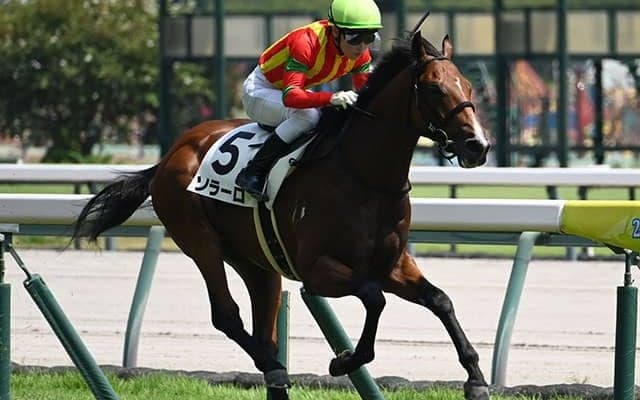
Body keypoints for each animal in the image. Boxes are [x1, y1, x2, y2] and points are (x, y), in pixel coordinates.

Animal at [71, 16, 491, 400]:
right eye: (434, 88)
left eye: (468, 85)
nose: (478, 145)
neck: (364, 176)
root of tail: (171, 154)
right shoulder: (317, 271)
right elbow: (374, 297)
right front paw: (344, 360)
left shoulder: (392, 265)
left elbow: (440, 300)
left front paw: (476, 380)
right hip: (200, 240)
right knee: (227, 315)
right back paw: (271, 365)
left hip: (256, 262)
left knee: (264, 323)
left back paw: (274, 370)